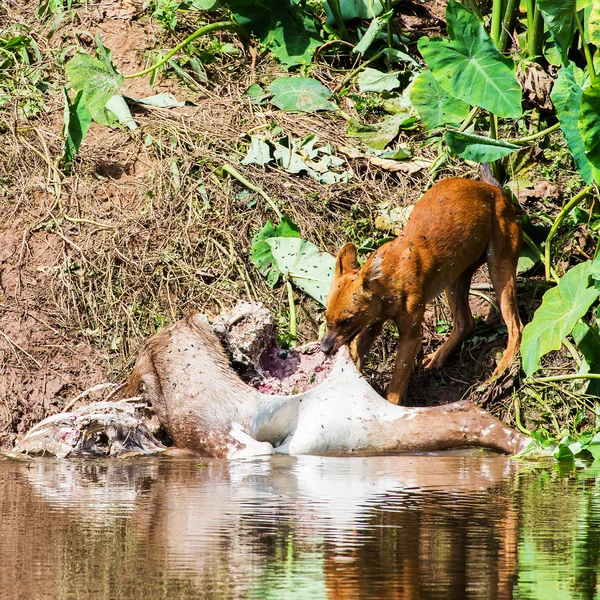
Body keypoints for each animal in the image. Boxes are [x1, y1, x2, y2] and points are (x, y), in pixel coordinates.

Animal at [322, 171, 524, 406]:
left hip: (500, 268)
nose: (324, 348)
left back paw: (501, 371)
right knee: (466, 322)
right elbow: (358, 355)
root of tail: (493, 189)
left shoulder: (412, 335)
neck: (393, 278)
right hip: (453, 279)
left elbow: (396, 386)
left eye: (347, 320)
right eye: (326, 317)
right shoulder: (373, 322)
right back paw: (437, 357)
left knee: (516, 327)